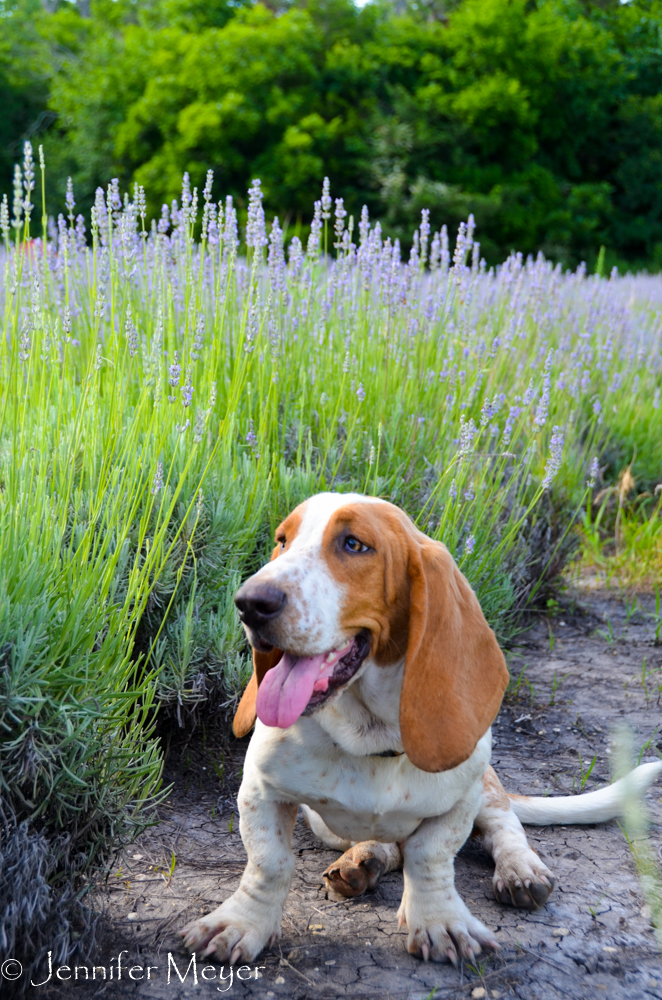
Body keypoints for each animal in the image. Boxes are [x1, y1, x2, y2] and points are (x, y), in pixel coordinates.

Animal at [180, 496, 662, 964]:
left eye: (354, 544)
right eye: (283, 540)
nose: (249, 602)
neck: (370, 739)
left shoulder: (459, 800)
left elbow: (431, 858)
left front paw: (440, 922)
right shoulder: (261, 791)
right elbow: (269, 864)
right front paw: (241, 924)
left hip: (486, 786)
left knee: (503, 825)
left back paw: (519, 870)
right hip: (326, 826)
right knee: (387, 846)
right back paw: (364, 860)